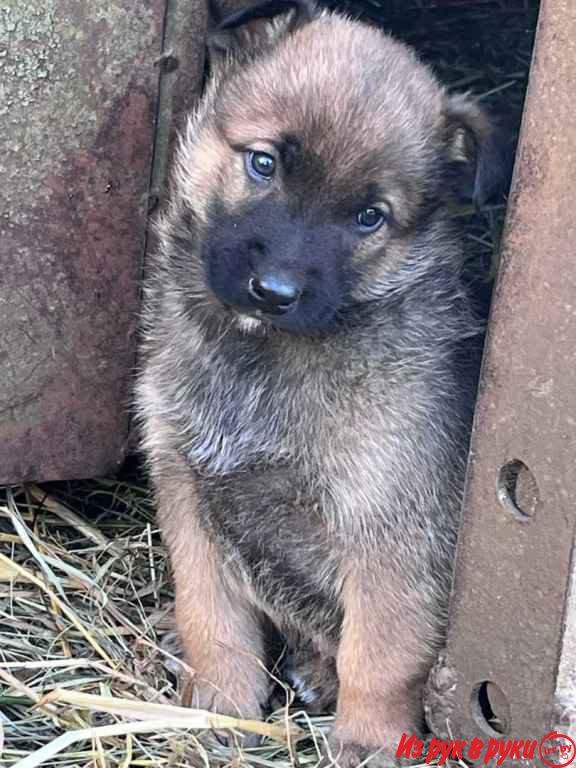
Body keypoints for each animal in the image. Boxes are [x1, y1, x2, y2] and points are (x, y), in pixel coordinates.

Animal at [137, 4, 502, 760]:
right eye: (263, 162)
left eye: (369, 217)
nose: (274, 292)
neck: (259, 358)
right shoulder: (185, 486)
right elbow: (210, 611)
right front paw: (219, 700)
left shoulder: (389, 530)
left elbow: (381, 651)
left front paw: (371, 738)